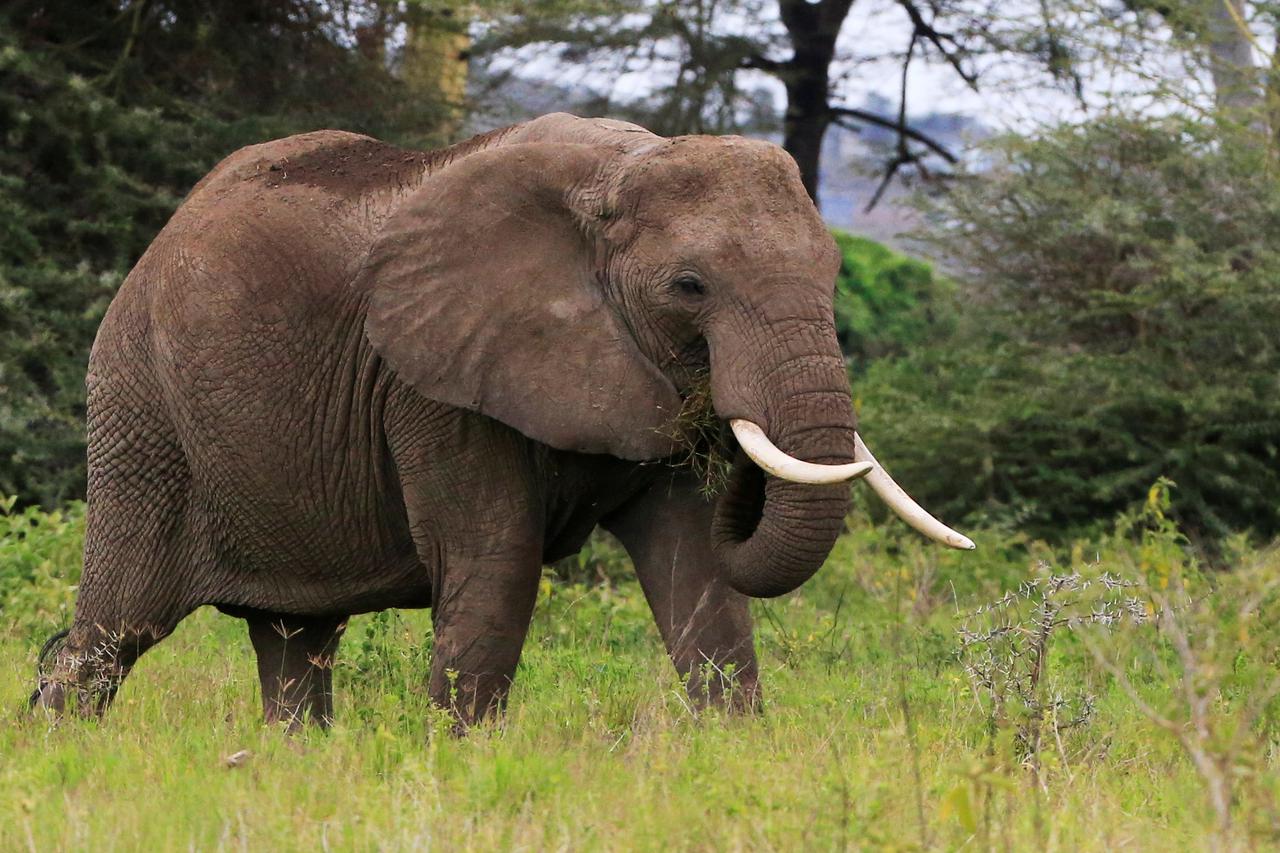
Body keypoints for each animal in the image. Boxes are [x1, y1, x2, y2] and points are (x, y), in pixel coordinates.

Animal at [31, 113, 972, 729]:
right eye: (690, 287)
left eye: (835, 269)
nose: (725, 413)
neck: (615, 171)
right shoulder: (433, 381)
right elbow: (497, 561)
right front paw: (457, 758)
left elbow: (696, 564)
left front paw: (734, 749)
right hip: (142, 412)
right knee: (117, 628)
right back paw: (59, 746)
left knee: (295, 641)